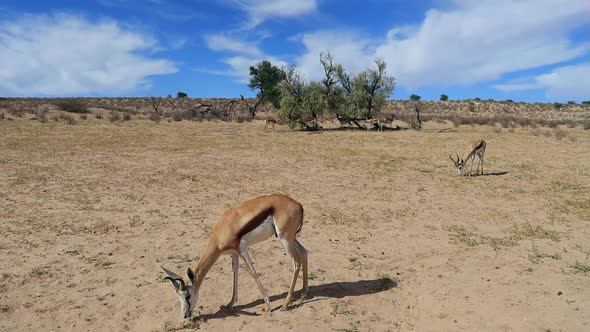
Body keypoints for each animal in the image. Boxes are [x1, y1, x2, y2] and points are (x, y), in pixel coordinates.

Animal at [162, 195, 310, 320]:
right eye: (178, 296)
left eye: (187, 295)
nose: (185, 315)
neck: (222, 229)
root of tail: (298, 204)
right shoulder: (234, 253)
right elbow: (235, 272)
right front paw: (231, 303)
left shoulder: (242, 248)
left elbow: (252, 272)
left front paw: (268, 306)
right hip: (291, 238)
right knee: (304, 253)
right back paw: (303, 294)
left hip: (284, 238)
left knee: (296, 261)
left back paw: (285, 304)